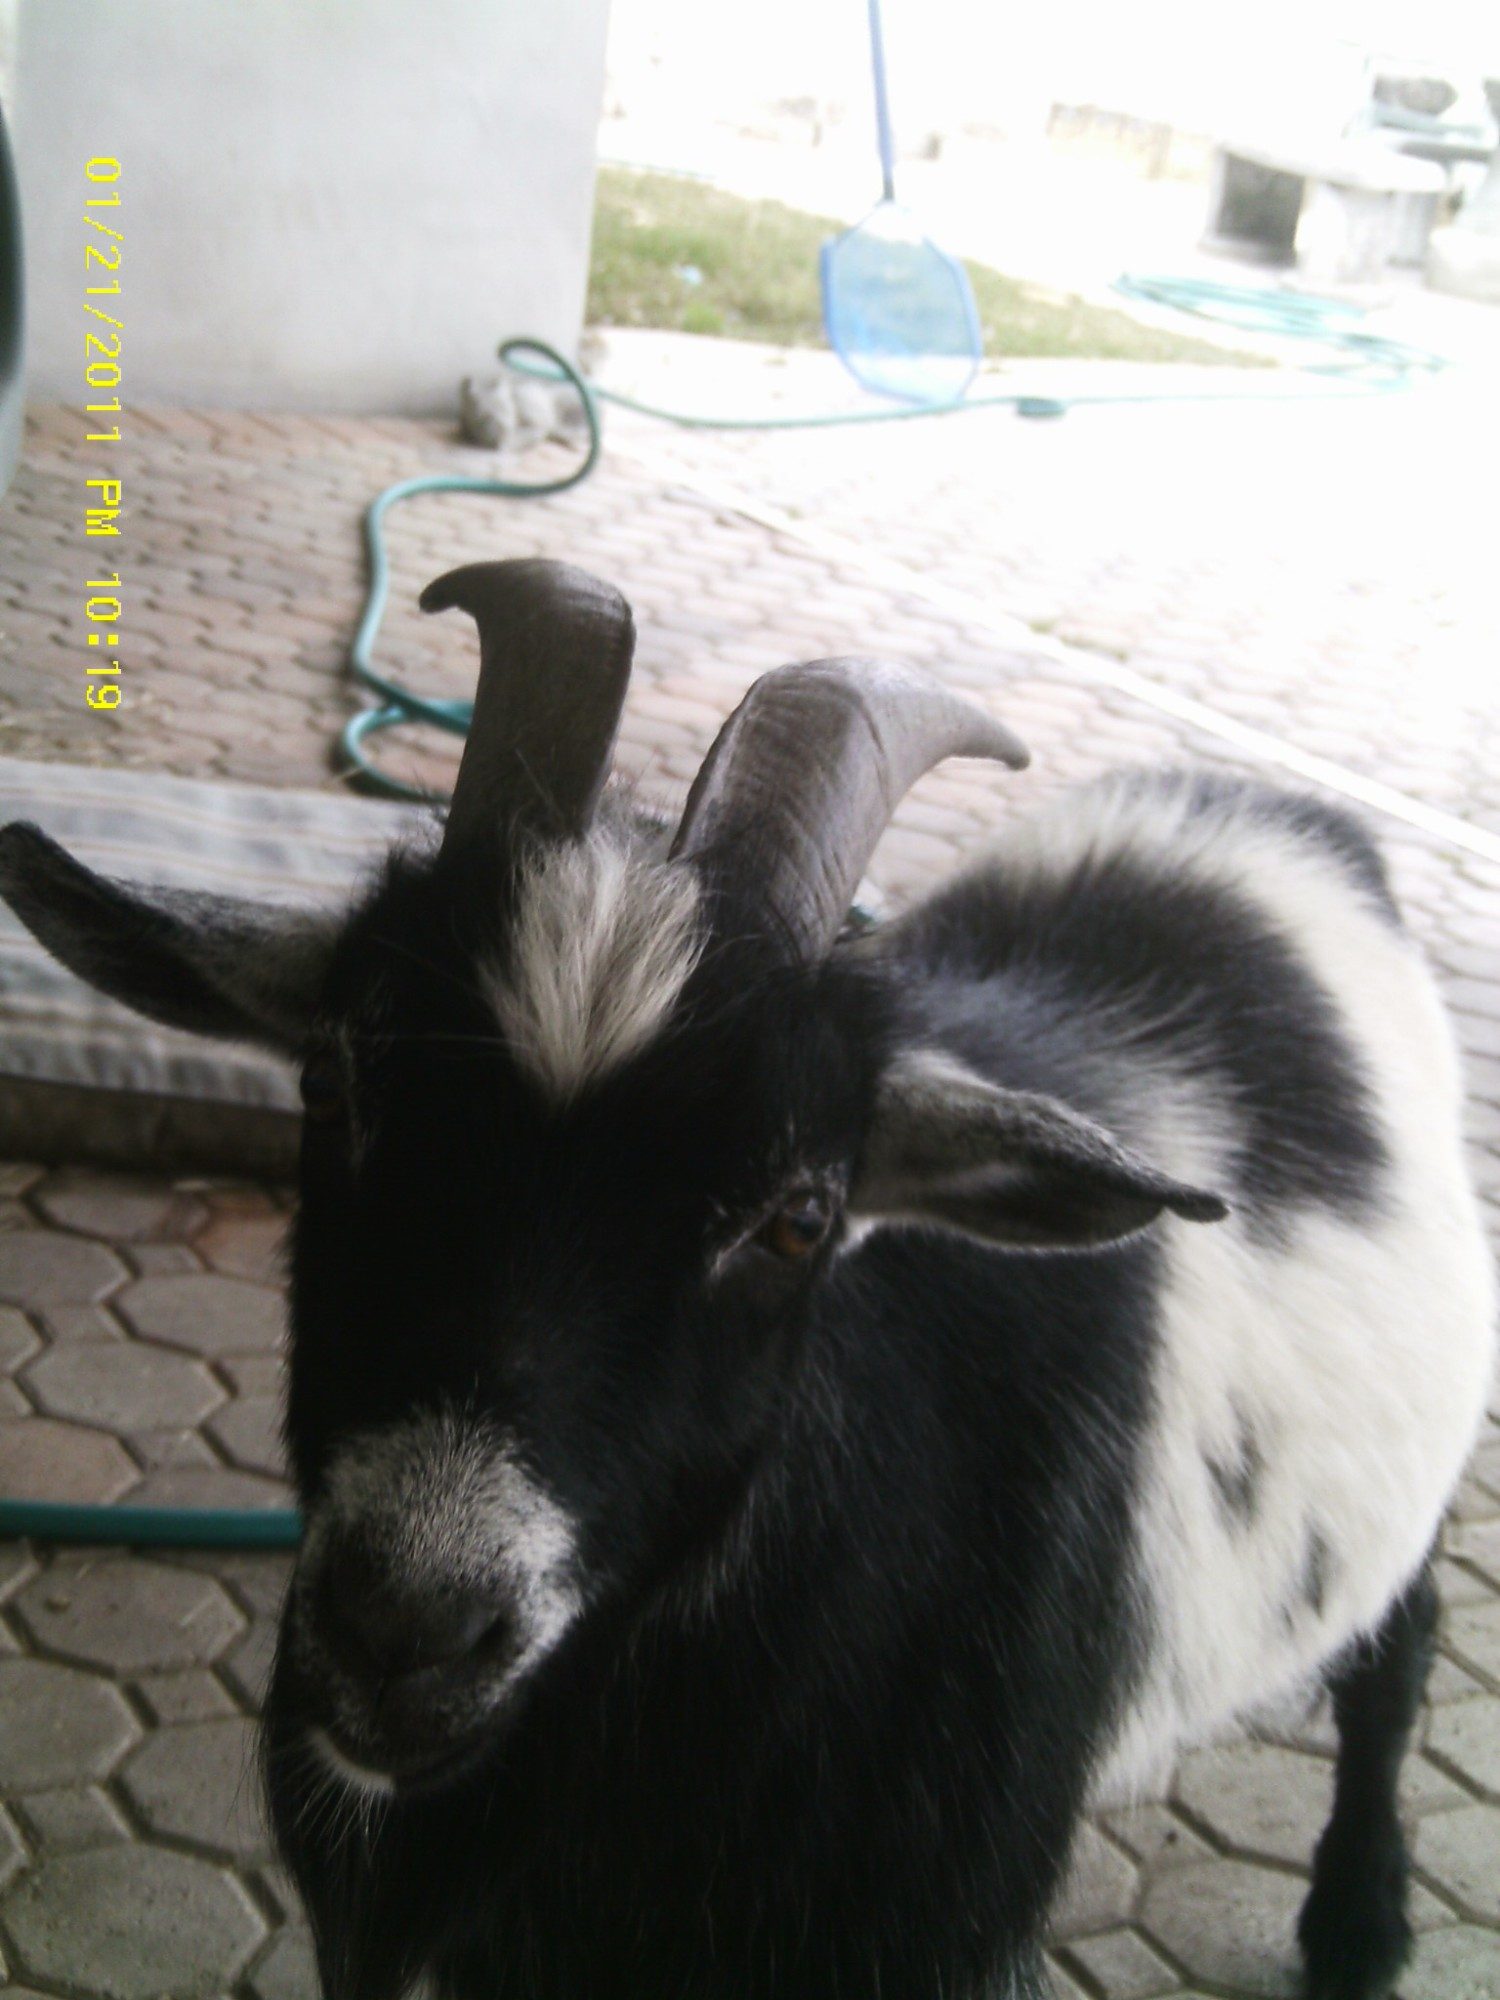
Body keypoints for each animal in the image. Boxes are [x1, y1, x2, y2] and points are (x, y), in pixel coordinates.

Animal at [0, 557, 1492, 2000]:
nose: (406, 1631)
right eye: (332, 1081)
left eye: (803, 1215)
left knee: (1400, 1640)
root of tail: (1277, 810)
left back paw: (1361, 1922)